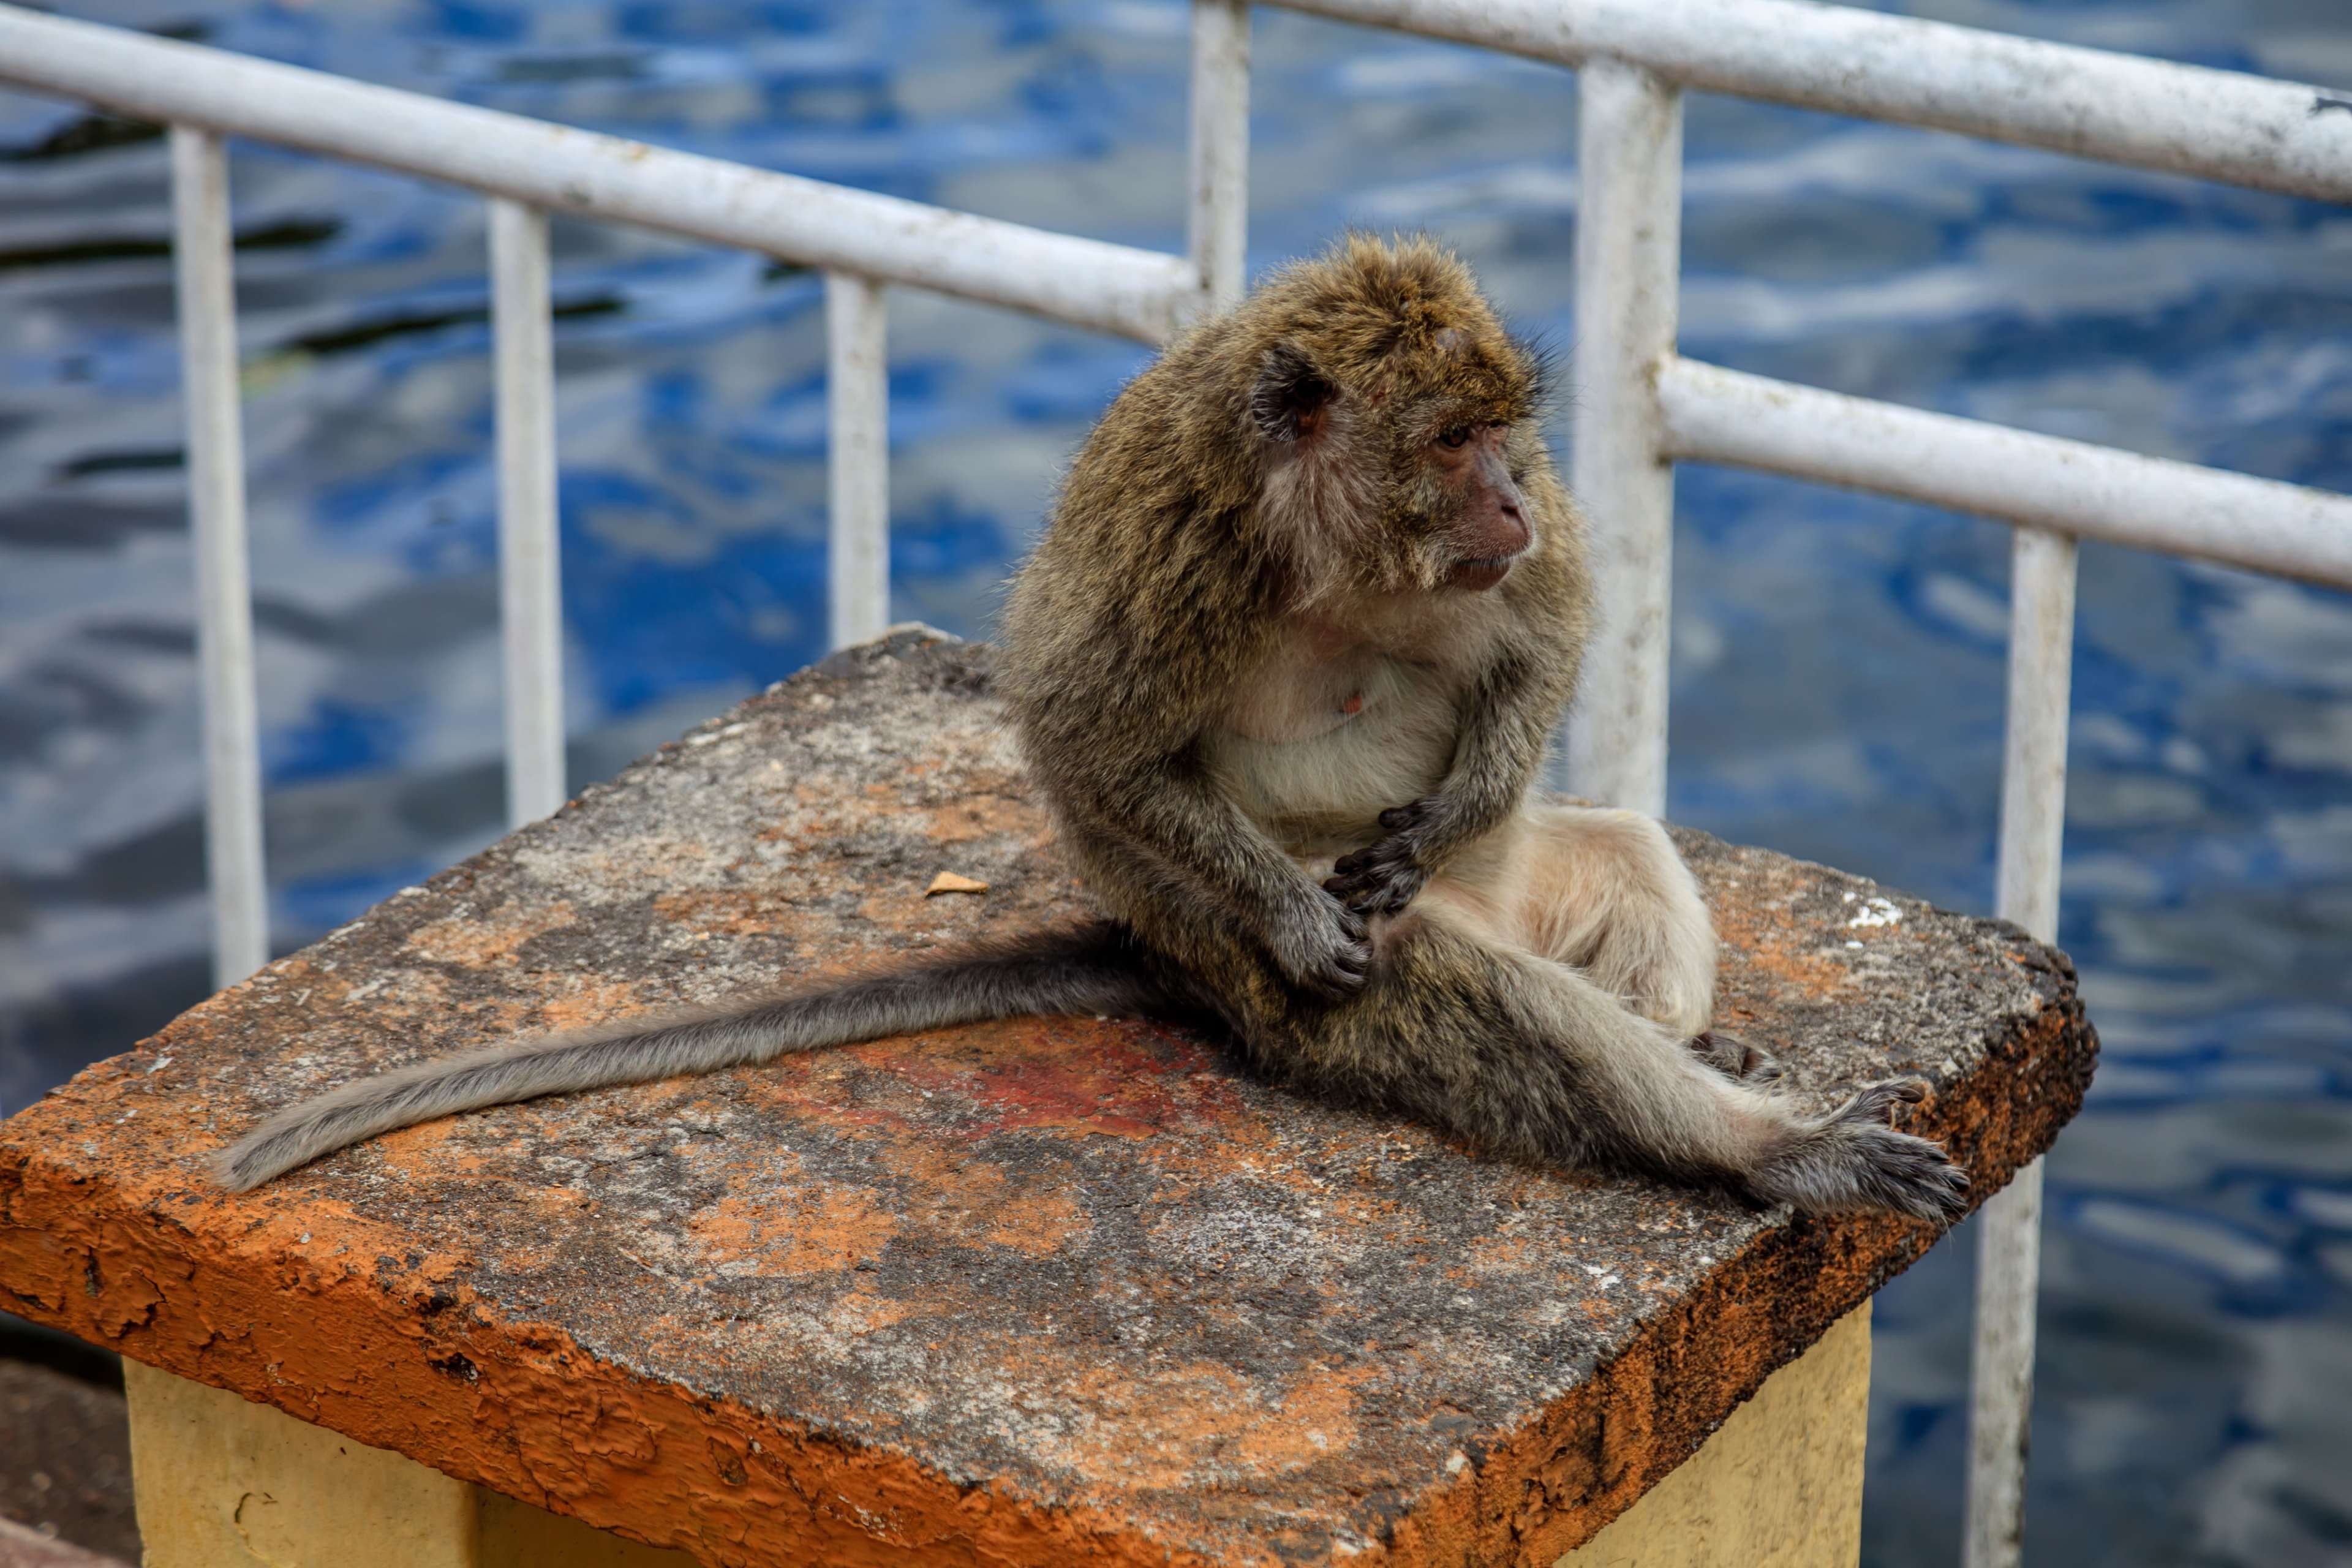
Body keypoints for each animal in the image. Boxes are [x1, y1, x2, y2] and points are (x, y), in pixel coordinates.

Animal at [213, 235, 1966, 1224]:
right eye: (1449, 441)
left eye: (1503, 436)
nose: (1513, 496)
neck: (1326, 549)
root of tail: (1159, 960)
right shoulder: (1168, 547)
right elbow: (1090, 746)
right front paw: (1284, 900)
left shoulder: (1509, 568)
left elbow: (1545, 639)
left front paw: (1459, 792)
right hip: (1280, 997)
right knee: (1469, 989)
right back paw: (1762, 1149)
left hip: (1521, 879)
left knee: (1614, 853)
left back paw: (1685, 1039)